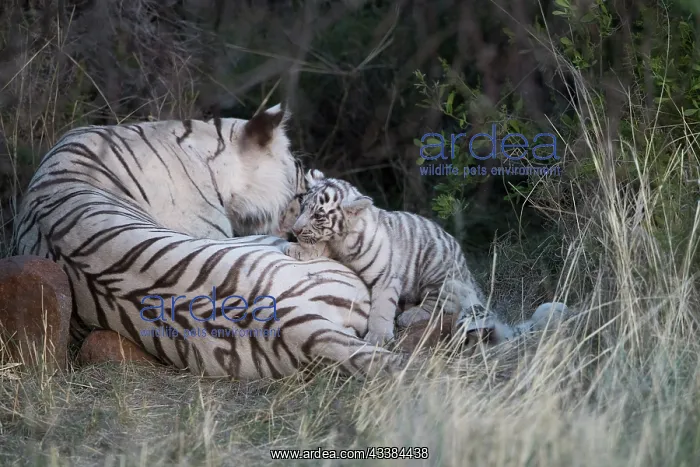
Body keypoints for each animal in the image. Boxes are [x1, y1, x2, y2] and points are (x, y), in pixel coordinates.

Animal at [283, 169, 567, 346]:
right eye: (303, 206)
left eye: (319, 215)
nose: (294, 230)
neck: (342, 239)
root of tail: (469, 275)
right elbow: (319, 246)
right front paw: (298, 249)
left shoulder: (385, 277)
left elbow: (381, 308)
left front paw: (377, 336)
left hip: (439, 272)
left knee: (439, 304)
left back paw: (410, 315)